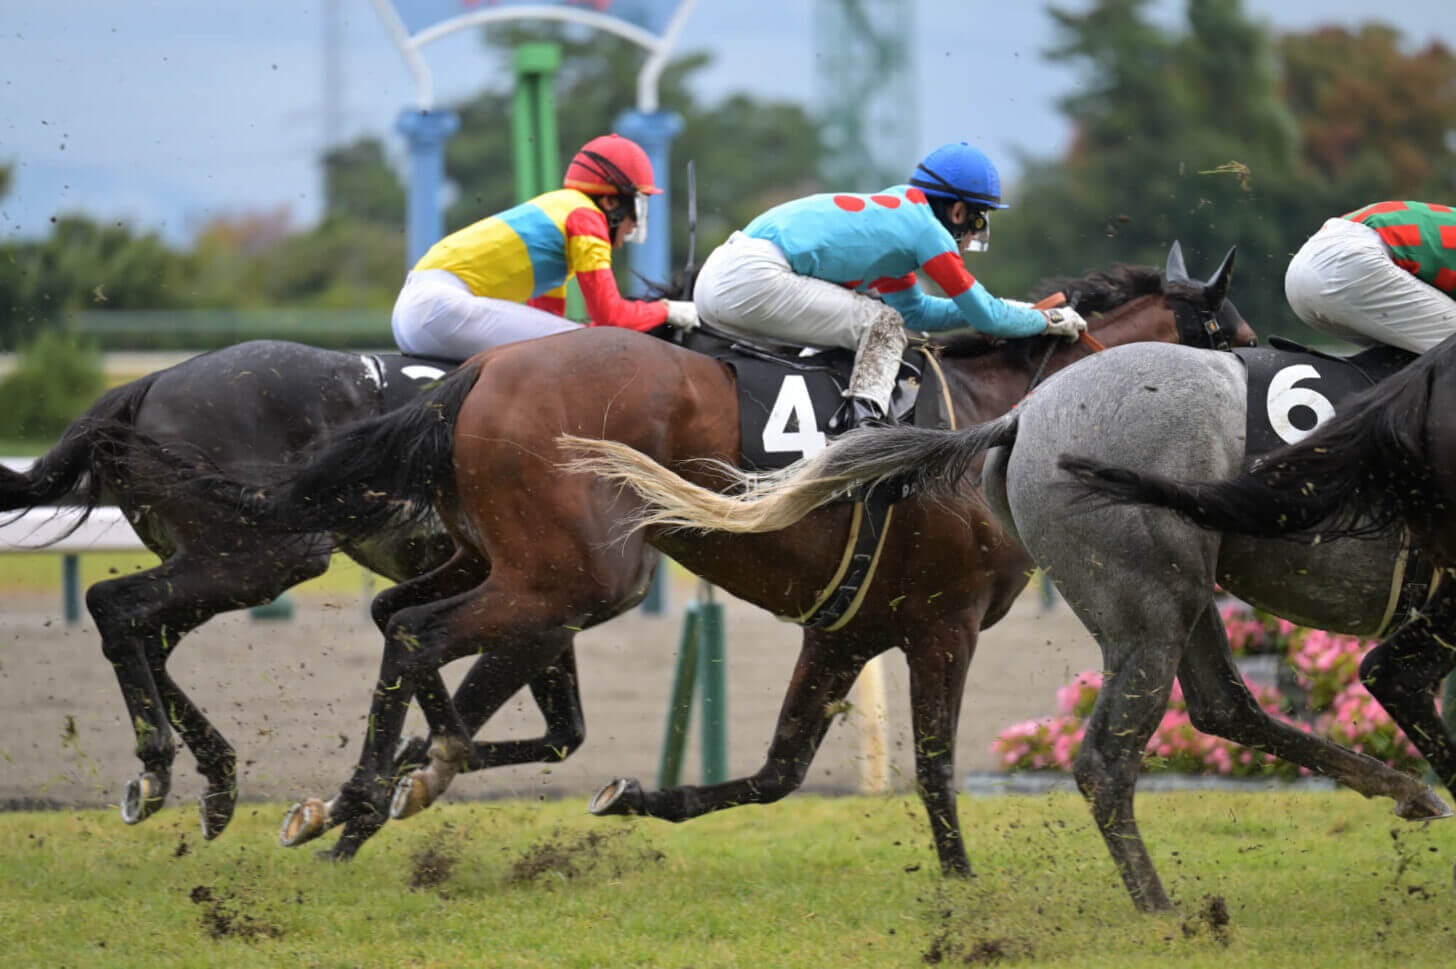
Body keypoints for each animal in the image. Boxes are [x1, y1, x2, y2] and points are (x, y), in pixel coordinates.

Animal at [7, 341, 591, 838]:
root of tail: (146, 385)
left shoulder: (546, 604)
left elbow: (565, 736)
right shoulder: (539, 602)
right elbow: (538, 725)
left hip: (217, 563)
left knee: (146, 637)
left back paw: (217, 779)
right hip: (265, 556)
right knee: (114, 604)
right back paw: (158, 766)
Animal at [153, 242, 1252, 867]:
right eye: (1238, 333)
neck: (997, 412)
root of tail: (476, 377)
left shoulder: (845, 629)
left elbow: (774, 772)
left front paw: (639, 796)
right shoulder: (944, 624)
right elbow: (936, 772)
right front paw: (962, 883)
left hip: (501, 557)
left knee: (395, 622)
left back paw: (358, 798)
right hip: (580, 573)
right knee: (421, 632)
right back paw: (389, 788)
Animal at [562, 318, 1450, 913]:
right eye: (1225, 322)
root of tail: (1027, 420)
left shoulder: (849, 631)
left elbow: (784, 768)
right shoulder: (936, 626)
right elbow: (925, 764)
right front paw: (963, 880)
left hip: (1177, 595)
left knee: (1222, 707)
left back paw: (1402, 791)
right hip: (1151, 608)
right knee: (1110, 758)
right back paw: (1163, 906)